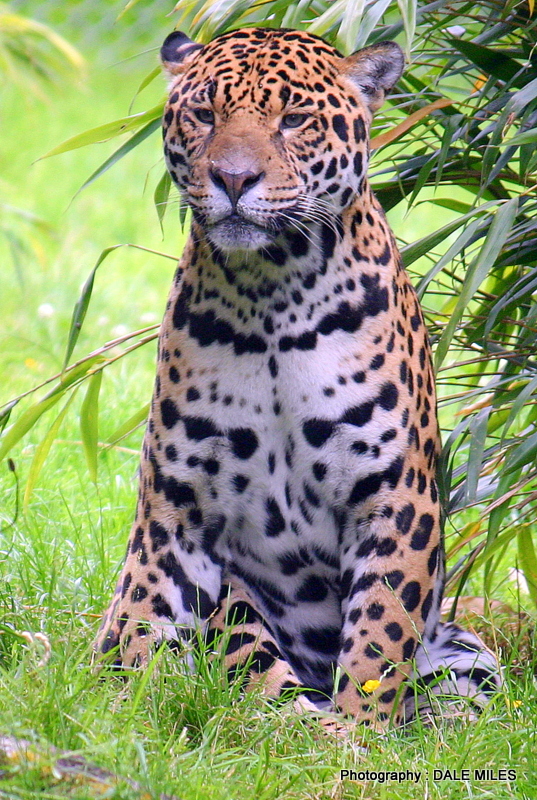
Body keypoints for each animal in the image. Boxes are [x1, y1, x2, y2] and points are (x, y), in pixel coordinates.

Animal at [95, 26, 500, 729]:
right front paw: (128, 715)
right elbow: (147, 615)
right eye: (204, 114)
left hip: (473, 658)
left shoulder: (395, 495)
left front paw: (358, 732)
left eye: (293, 120)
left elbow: (379, 635)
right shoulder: (173, 504)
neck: (272, 292)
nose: (233, 177)